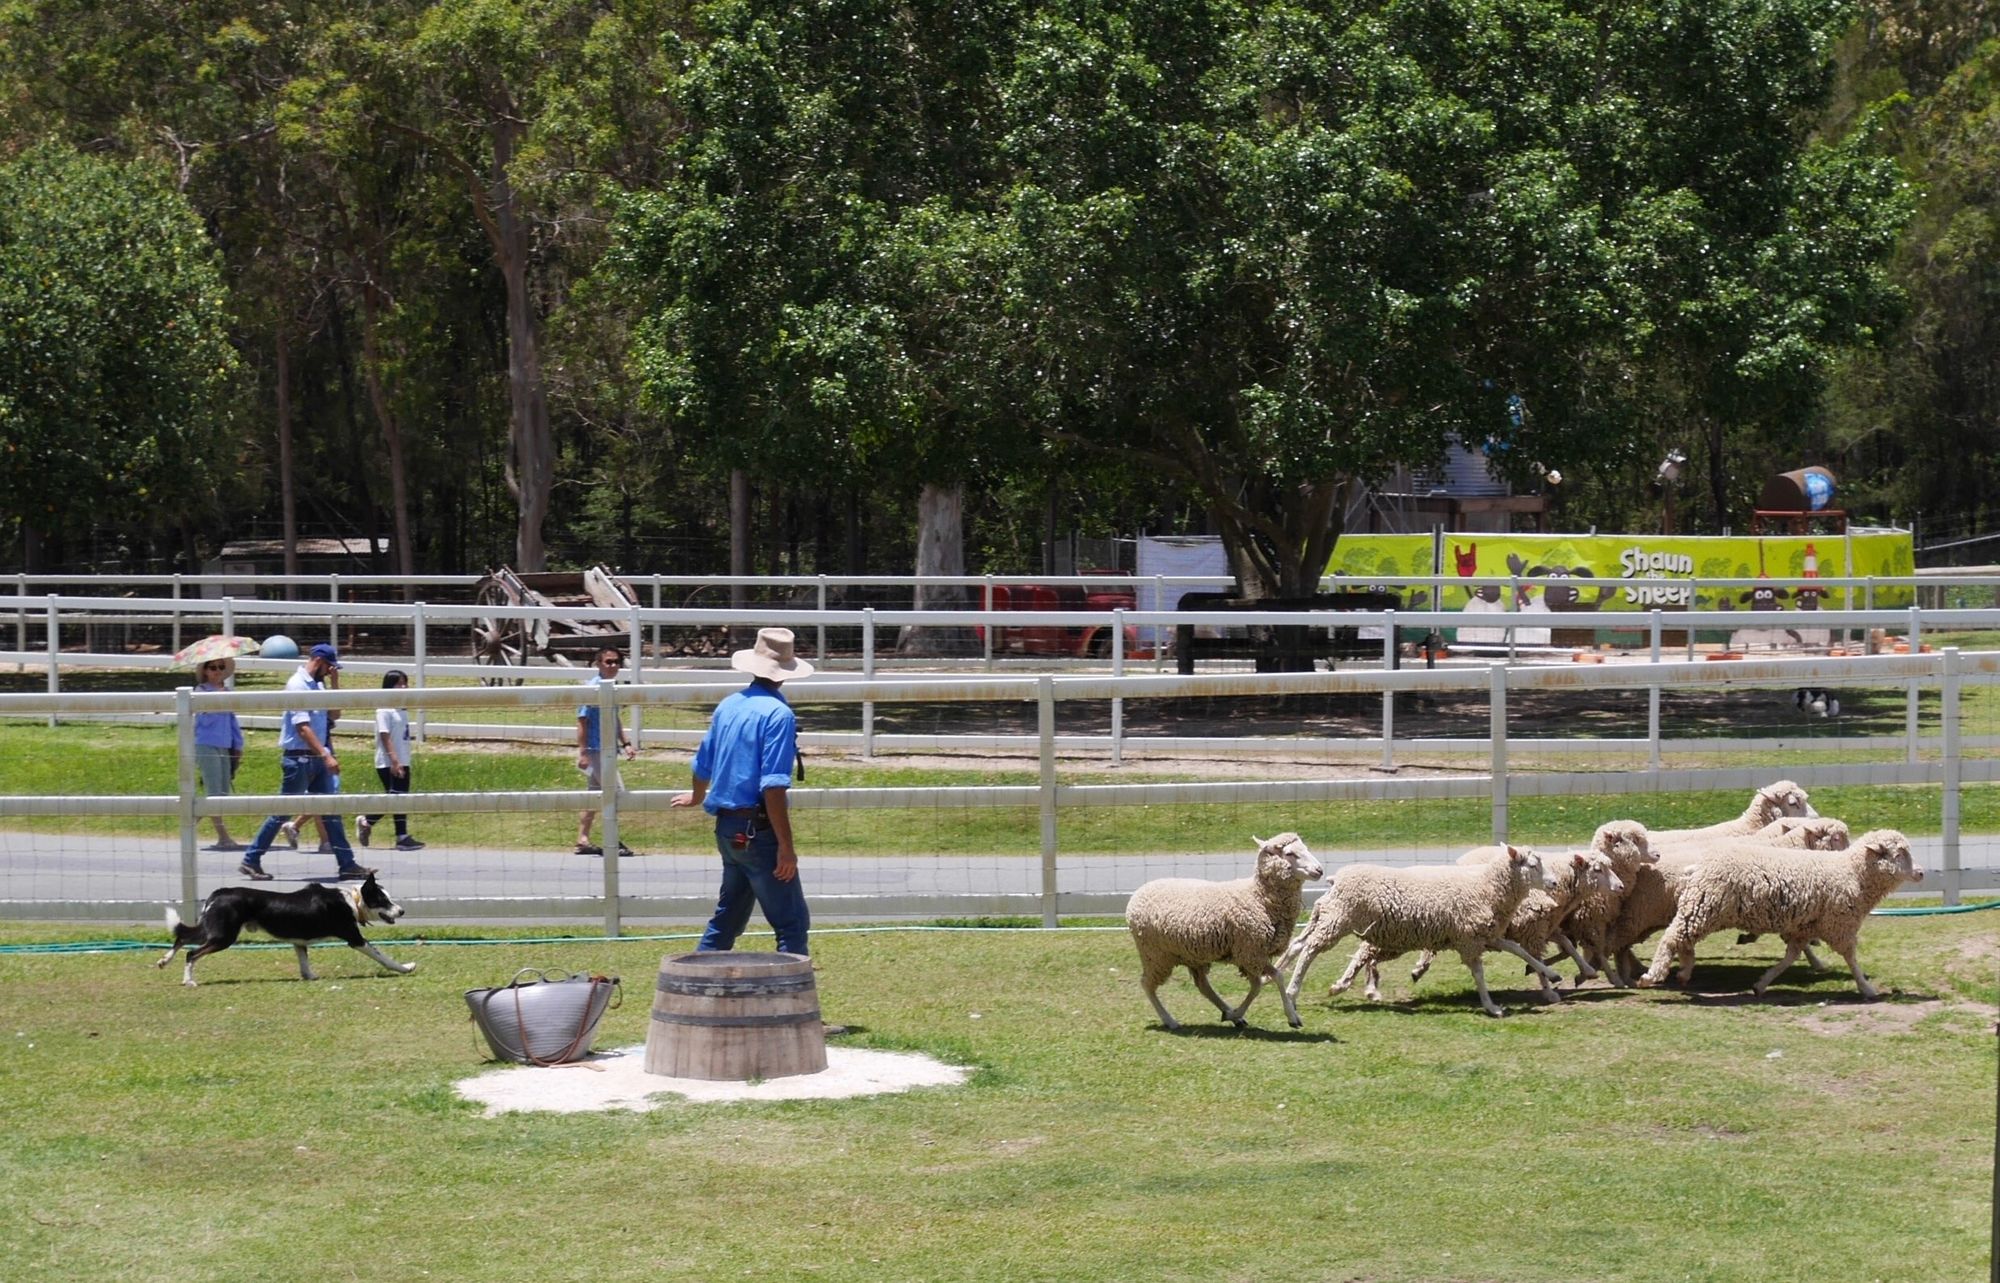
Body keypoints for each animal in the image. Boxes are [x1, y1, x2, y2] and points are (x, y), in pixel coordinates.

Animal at [159, 875, 418, 983]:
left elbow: (304, 963)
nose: (402, 911)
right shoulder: (354, 938)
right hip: (223, 936)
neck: (352, 901)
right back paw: (188, 981)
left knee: (182, 936)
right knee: (191, 953)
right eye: (383, 901)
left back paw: (164, 961)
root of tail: (218, 893)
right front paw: (405, 967)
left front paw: (310, 977)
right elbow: (383, 956)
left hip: (213, 929)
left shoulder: (299, 942)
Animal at [1128, 831, 1328, 1031]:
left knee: (1203, 986)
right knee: (1147, 984)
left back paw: (1229, 1013)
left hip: (1191, 955)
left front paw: (1236, 1014)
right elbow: (1274, 978)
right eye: (1290, 854)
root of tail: (1137, 894)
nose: (1319, 870)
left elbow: (1260, 984)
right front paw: (1291, 1017)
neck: (1259, 897)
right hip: (1155, 954)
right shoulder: (1251, 952)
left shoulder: (1251, 955)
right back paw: (1169, 1020)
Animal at [1280, 843, 1560, 1015]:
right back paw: (1293, 991)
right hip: (1338, 920)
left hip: (1328, 916)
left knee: (1298, 945)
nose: (1555, 883)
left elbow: (1521, 951)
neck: (1486, 887)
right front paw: (1491, 1007)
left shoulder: (1485, 935)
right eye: (1533, 865)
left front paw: (1552, 975)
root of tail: (1335, 879)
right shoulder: (1469, 939)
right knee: (1309, 951)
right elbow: (1479, 974)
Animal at [1640, 823, 1920, 995]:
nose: (1921, 873)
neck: (1853, 873)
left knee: (1683, 940)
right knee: (1671, 938)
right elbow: (1851, 958)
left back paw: (1684, 973)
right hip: (1704, 906)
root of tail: (1699, 865)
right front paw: (1866, 988)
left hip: (1702, 908)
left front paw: (1762, 983)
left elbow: (1790, 957)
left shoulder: (1803, 927)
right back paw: (1652, 976)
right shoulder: (1839, 925)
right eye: (1898, 855)